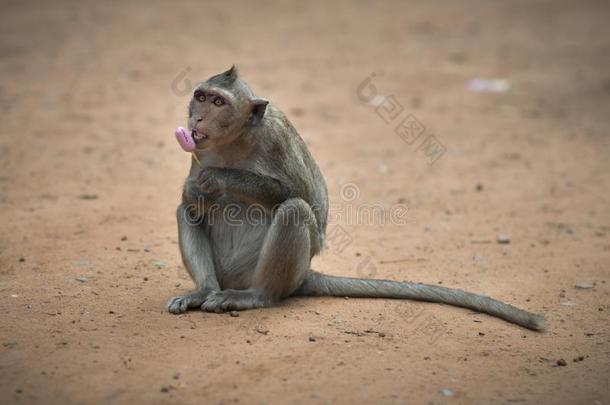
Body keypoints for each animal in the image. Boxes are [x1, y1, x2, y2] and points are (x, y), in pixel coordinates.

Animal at [165, 66, 540, 330]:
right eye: (201, 96)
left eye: (219, 102)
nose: (197, 118)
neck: (236, 140)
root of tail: (304, 275)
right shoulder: (201, 149)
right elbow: (192, 201)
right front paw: (195, 190)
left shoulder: (276, 136)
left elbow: (303, 196)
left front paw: (218, 180)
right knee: (186, 212)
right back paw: (203, 291)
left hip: (262, 274)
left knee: (295, 211)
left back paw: (257, 297)